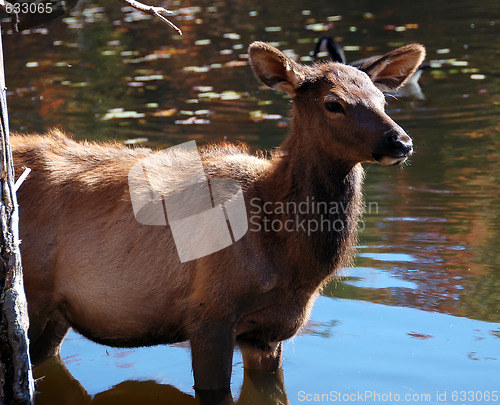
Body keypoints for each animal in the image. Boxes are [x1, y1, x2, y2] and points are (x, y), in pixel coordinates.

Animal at [13, 41, 424, 400]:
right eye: (333, 103)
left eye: (383, 100)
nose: (401, 142)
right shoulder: (209, 314)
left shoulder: (267, 333)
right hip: (31, 293)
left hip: (58, 313)